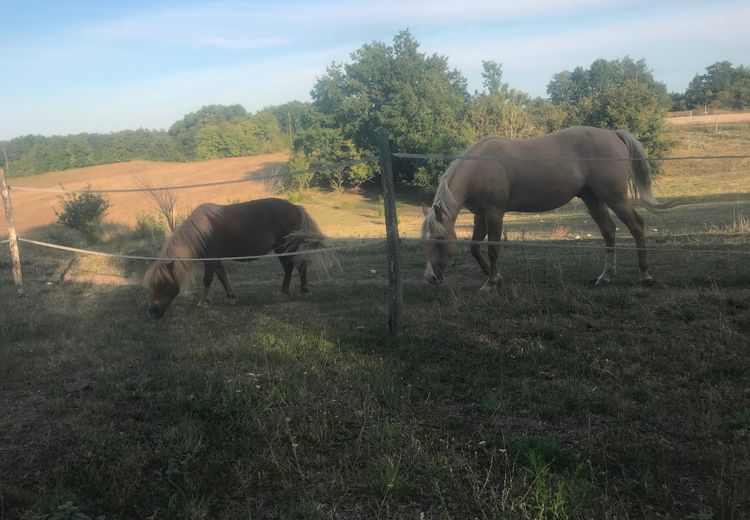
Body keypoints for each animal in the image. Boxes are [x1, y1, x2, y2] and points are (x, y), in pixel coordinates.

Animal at [145, 198, 334, 318]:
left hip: (289, 246)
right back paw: (284, 292)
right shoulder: (216, 260)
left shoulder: (210, 261)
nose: (153, 312)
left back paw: (303, 290)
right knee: (289, 268)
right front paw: (231, 297)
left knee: (300, 265)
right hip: (281, 248)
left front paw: (204, 302)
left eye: (164, 283)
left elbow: (208, 279)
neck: (202, 231)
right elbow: (223, 277)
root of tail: (296, 207)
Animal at [424, 124, 680, 290]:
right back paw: (605, 277)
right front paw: (495, 277)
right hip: (592, 198)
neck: (479, 167)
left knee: (636, 226)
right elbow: (475, 247)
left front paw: (491, 283)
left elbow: (493, 249)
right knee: (609, 231)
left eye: (439, 240)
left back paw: (645, 275)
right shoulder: (481, 215)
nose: (430, 277)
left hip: (614, 196)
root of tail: (613, 134)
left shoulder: (495, 213)